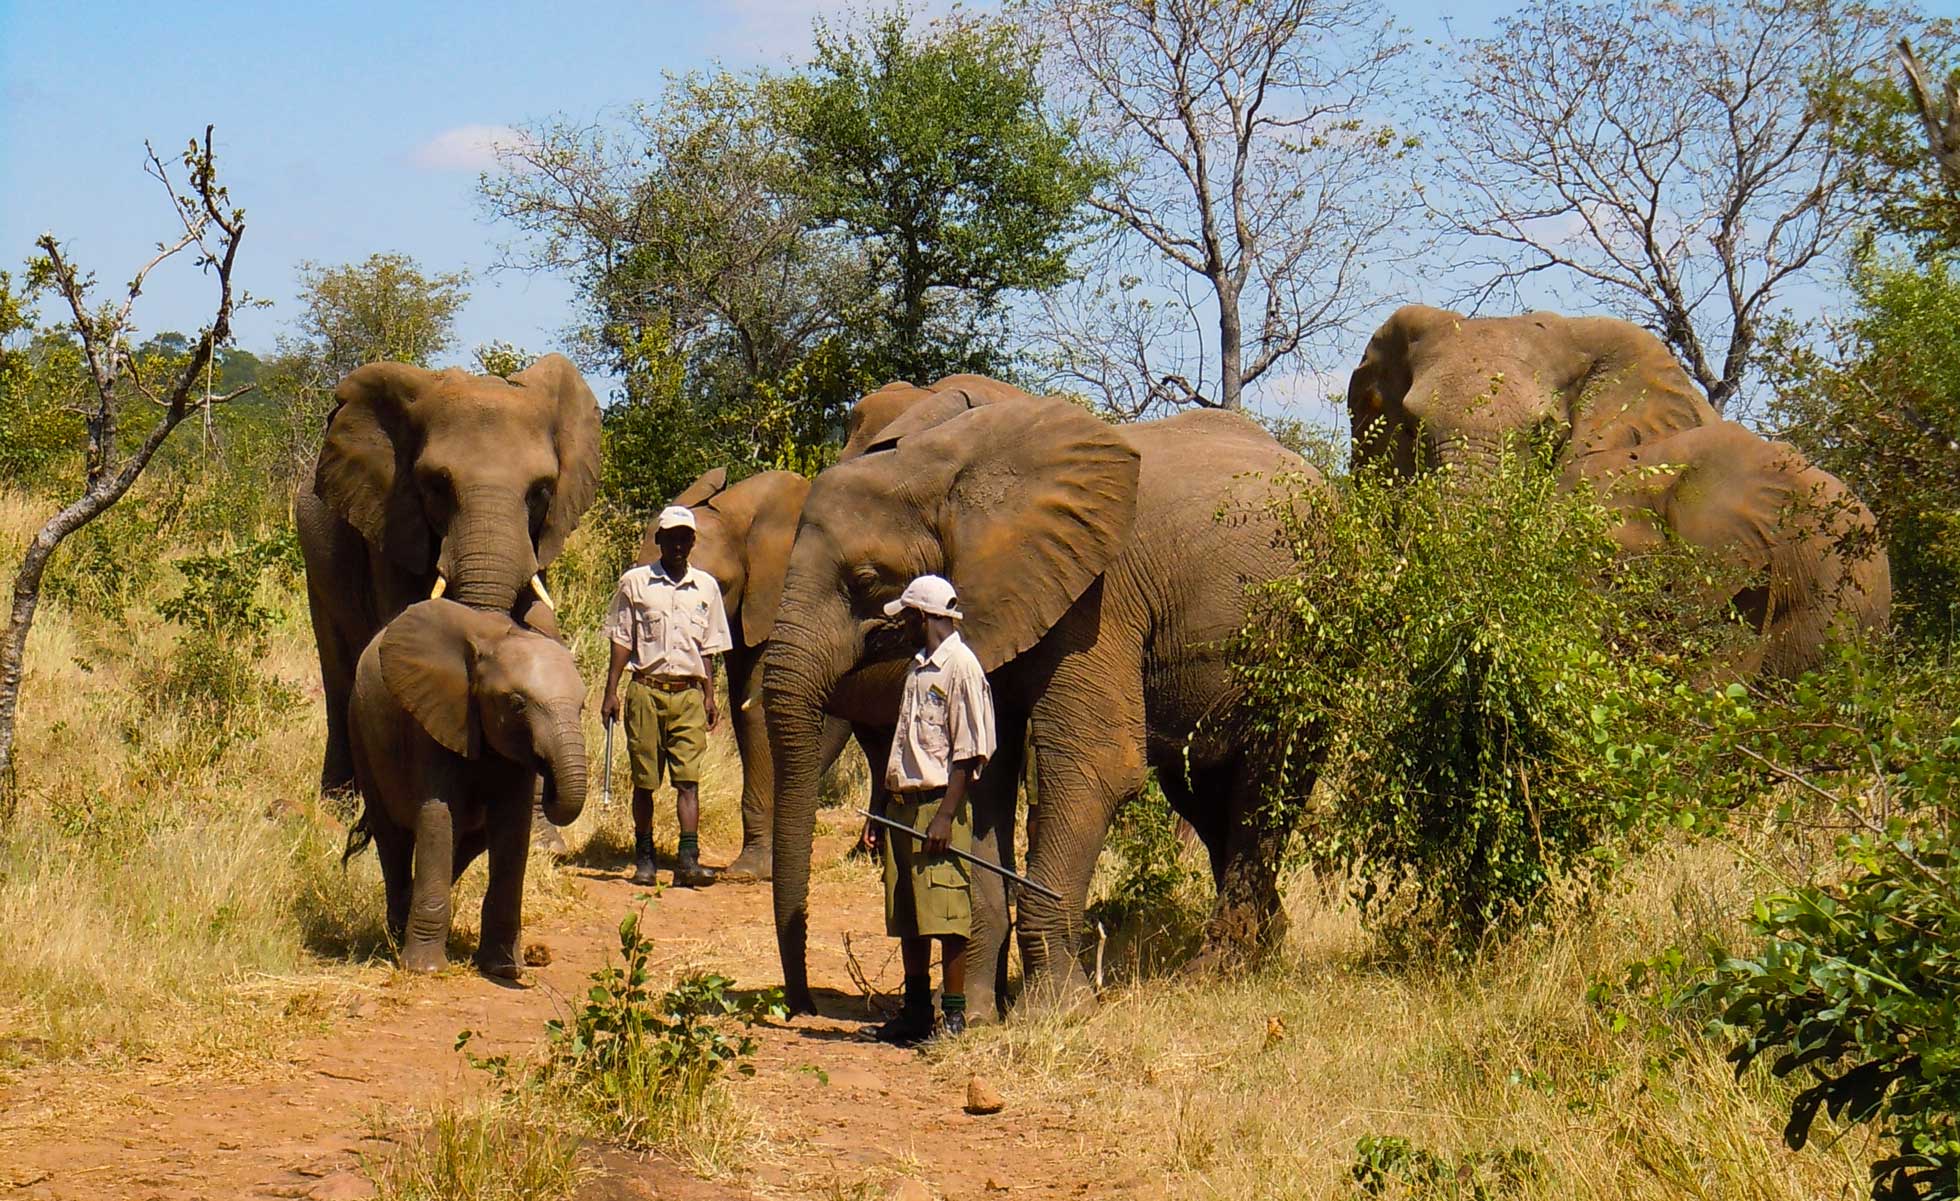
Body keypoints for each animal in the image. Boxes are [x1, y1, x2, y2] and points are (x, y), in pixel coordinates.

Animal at [294, 358, 599, 807]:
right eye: (436, 485)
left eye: (541, 490)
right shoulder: (391, 523)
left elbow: (537, 619)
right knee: (336, 668)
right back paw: (339, 802)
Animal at [348, 599, 588, 975]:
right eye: (517, 704)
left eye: (582, 706)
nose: (547, 774)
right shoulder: (435, 718)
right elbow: (438, 817)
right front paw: (425, 970)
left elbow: (512, 828)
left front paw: (503, 968)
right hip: (361, 731)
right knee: (393, 837)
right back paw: (398, 932)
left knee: (467, 841)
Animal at [764, 393, 1317, 1018]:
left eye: (865, 578)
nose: (802, 1005)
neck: (949, 469)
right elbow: (982, 773)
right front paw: (979, 1017)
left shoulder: (1097, 597)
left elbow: (1096, 769)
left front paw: (1055, 1010)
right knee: (1201, 792)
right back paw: (1266, 945)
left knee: (1267, 783)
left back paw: (1216, 971)